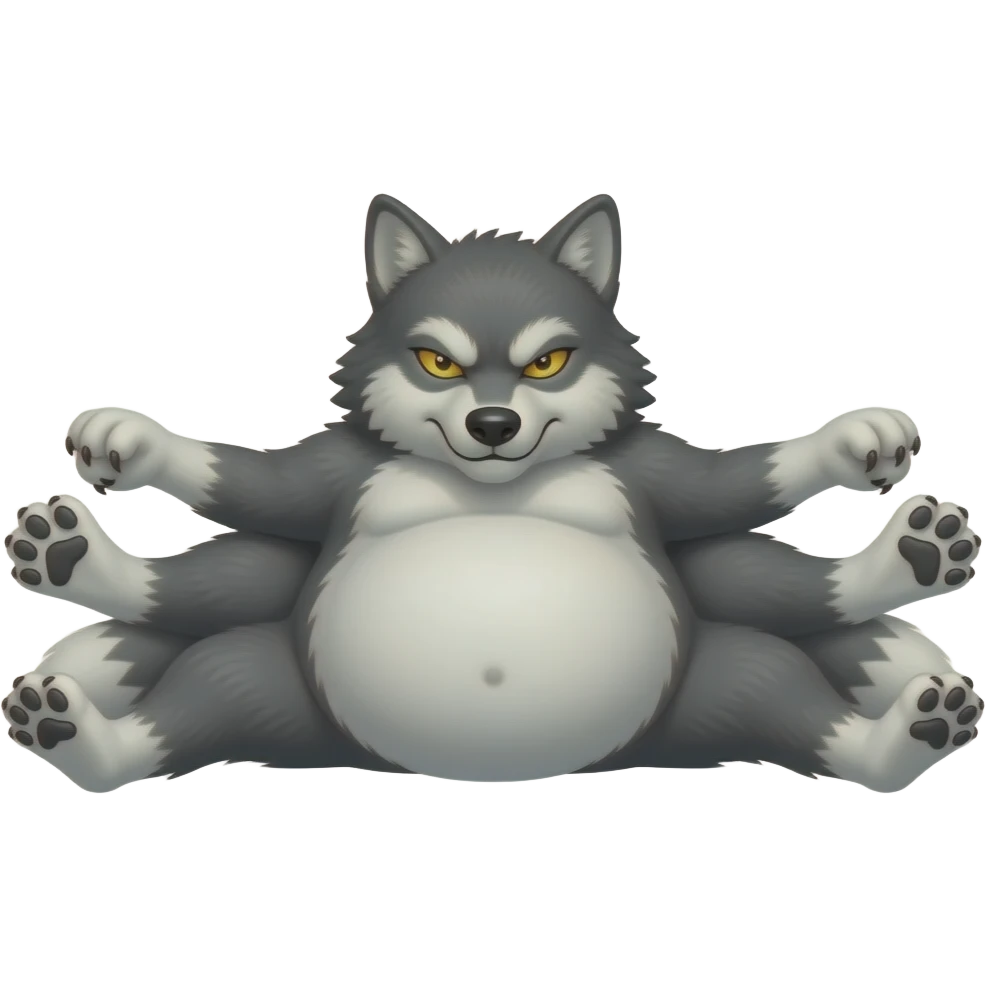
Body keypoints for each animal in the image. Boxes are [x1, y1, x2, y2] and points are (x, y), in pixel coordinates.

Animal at [3, 193, 982, 793]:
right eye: (437, 362)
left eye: (548, 362)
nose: (494, 424)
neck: (493, 485)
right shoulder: (342, 473)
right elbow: (256, 486)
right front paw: (138, 439)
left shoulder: (645, 473)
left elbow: (731, 486)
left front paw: (847, 439)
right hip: (274, 685)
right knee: (202, 658)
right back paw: (76, 617)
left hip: (713, 686)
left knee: (785, 655)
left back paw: (909, 613)